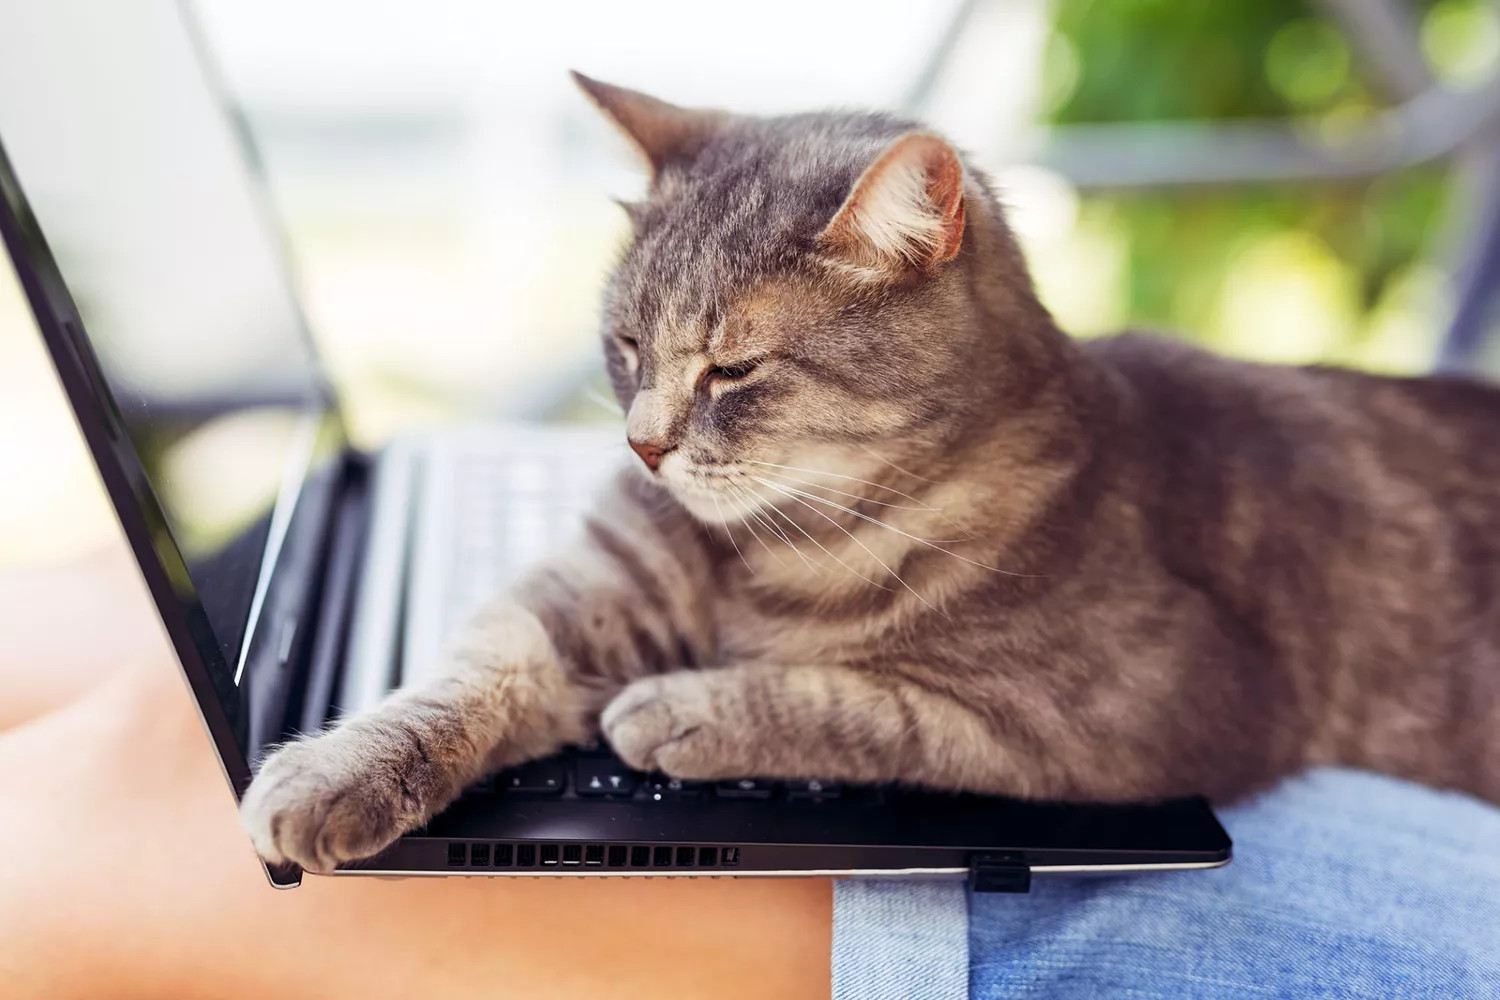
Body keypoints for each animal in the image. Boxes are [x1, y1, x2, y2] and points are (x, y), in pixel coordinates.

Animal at [240, 76, 1500, 875]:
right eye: (627, 345)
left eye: (733, 367)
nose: (642, 445)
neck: (765, 546)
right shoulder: (581, 591)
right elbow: (464, 673)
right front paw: (329, 773)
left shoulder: (1146, 711)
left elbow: (874, 707)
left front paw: (687, 706)